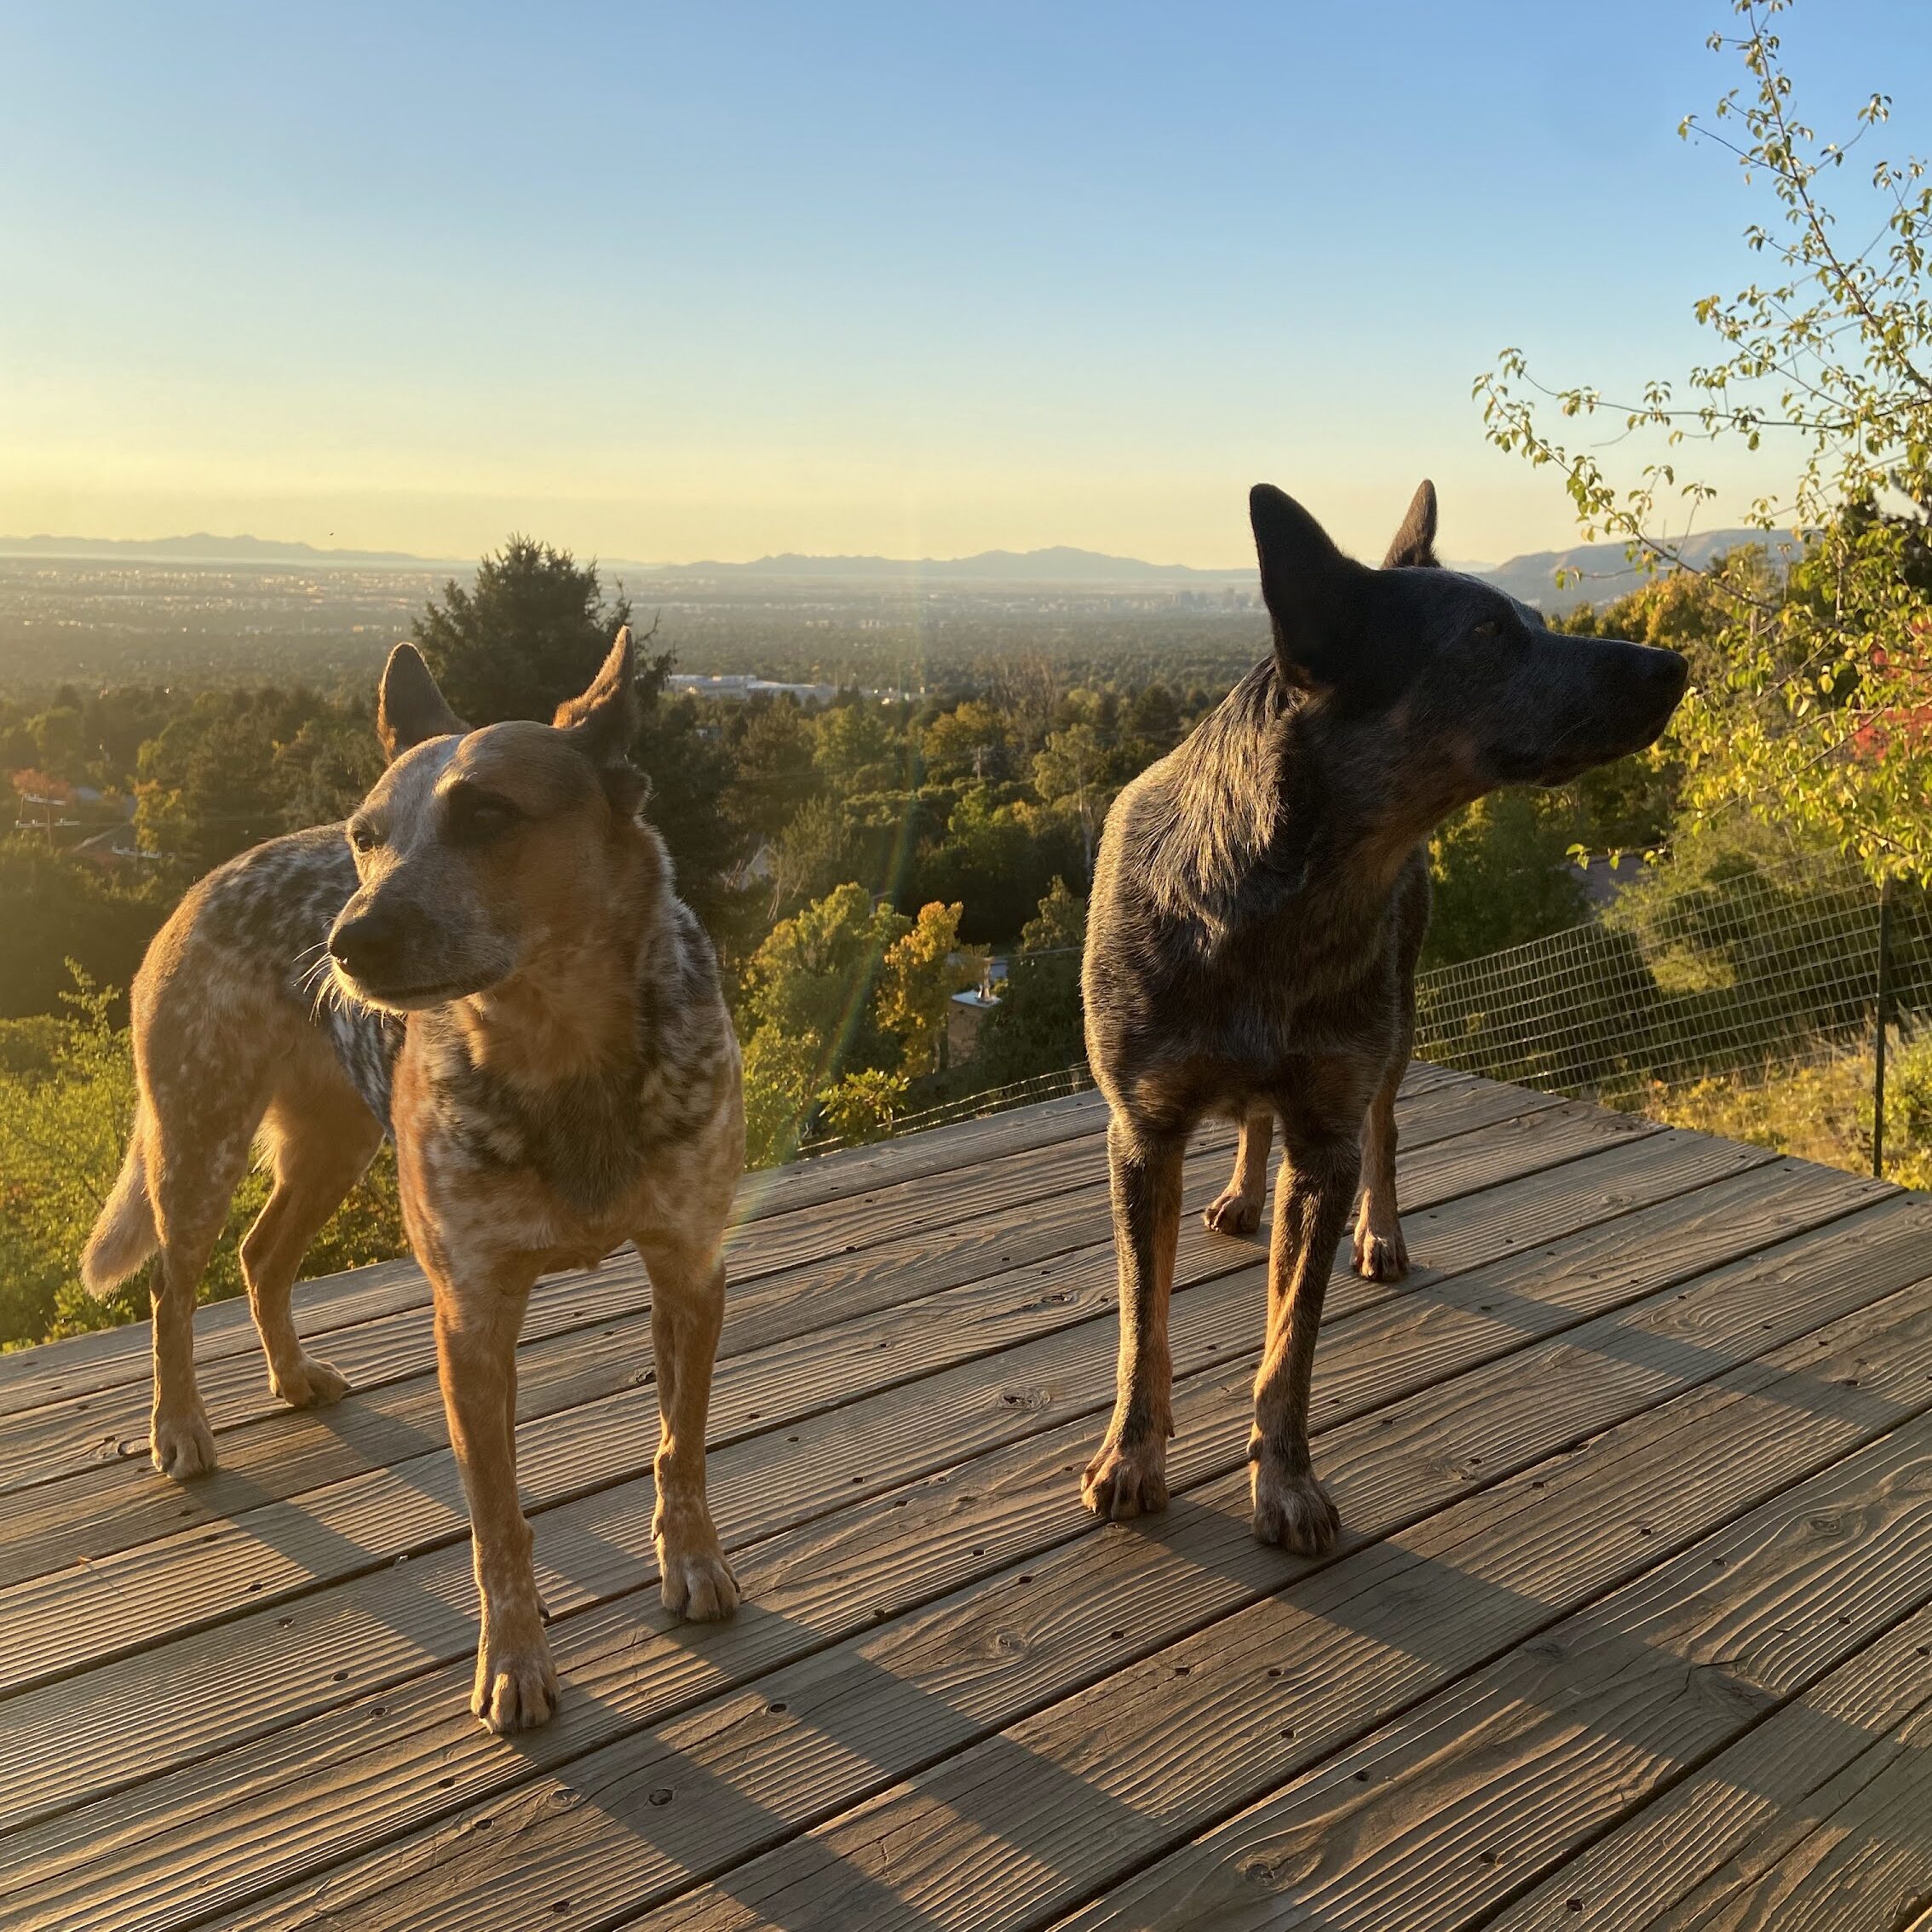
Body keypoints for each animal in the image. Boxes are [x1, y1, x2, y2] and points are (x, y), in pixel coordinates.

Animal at [1082, 483, 1684, 1553]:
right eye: (1490, 633)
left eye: (1534, 619)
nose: (1675, 664)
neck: (1281, 907)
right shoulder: (1141, 1130)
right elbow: (1142, 1330)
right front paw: (1132, 1457)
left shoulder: (1327, 1133)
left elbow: (1290, 1346)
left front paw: (1286, 1483)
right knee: (1255, 1121)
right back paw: (1242, 1193)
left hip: (1394, 1027)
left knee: (1388, 1131)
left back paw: (1382, 1233)